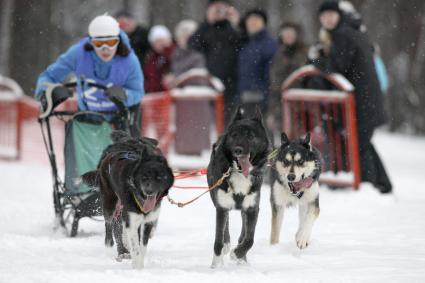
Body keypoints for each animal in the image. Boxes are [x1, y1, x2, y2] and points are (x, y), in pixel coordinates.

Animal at [80, 132, 173, 270]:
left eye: (158, 177)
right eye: (144, 177)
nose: (149, 191)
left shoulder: (144, 218)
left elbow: (140, 242)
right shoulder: (127, 216)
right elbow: (124, 236)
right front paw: (127, 256)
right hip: (110, 204)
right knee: (109, 223)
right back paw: (113, 243)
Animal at [207, 106, 270, 268]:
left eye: (251, 136)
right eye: (234, 135)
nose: (238, 150)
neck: (241, 175)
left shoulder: (253, 208)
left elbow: (249, 239)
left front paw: (238, 254)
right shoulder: (221, 206)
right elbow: (218, 240)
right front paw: (216, 265)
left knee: (244, 231)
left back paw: (242, 259)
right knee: (226, 227)